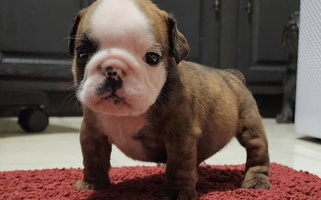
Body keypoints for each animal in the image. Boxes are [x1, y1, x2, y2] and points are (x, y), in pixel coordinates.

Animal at [68, 0, 270, 198]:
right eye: (82, 52)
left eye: (152, 58)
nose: (113, 70)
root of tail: (233, 75)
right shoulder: (92, 133)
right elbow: (93, 159)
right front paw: (92, 184)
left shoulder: (180, 136)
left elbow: (178, 166)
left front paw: (177, 193)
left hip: (250, 125)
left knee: (257, 150)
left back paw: (256, 180)